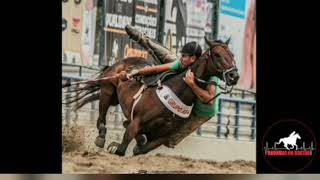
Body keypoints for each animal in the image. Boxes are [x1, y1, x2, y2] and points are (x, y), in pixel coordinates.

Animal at [63, 36, 238, 156]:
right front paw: (116, 146)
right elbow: (122, 148)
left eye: (232, 54)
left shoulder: (162, 137)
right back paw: (101, 136)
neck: (177, 93)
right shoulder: (136, 123)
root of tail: (121, 62)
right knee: (101, 118)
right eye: (217, 54)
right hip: (107, 91)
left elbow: (139, 149)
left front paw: (126, 144)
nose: (234, 76)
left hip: (114, 99)